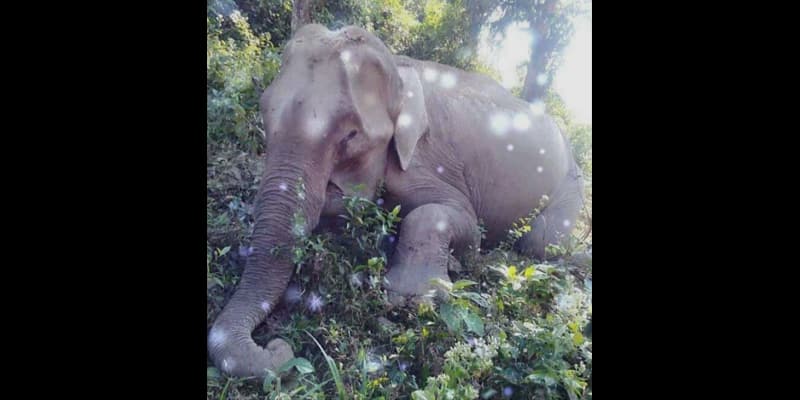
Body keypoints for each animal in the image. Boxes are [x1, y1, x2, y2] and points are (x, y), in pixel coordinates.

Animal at [208, 24, 585, 377]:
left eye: (351, 135)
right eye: (264, 115)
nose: (278, 347)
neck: (401, 75)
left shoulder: (430, 159)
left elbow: (461, 222)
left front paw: (415, 296)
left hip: (571, 182)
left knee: (542, 242)